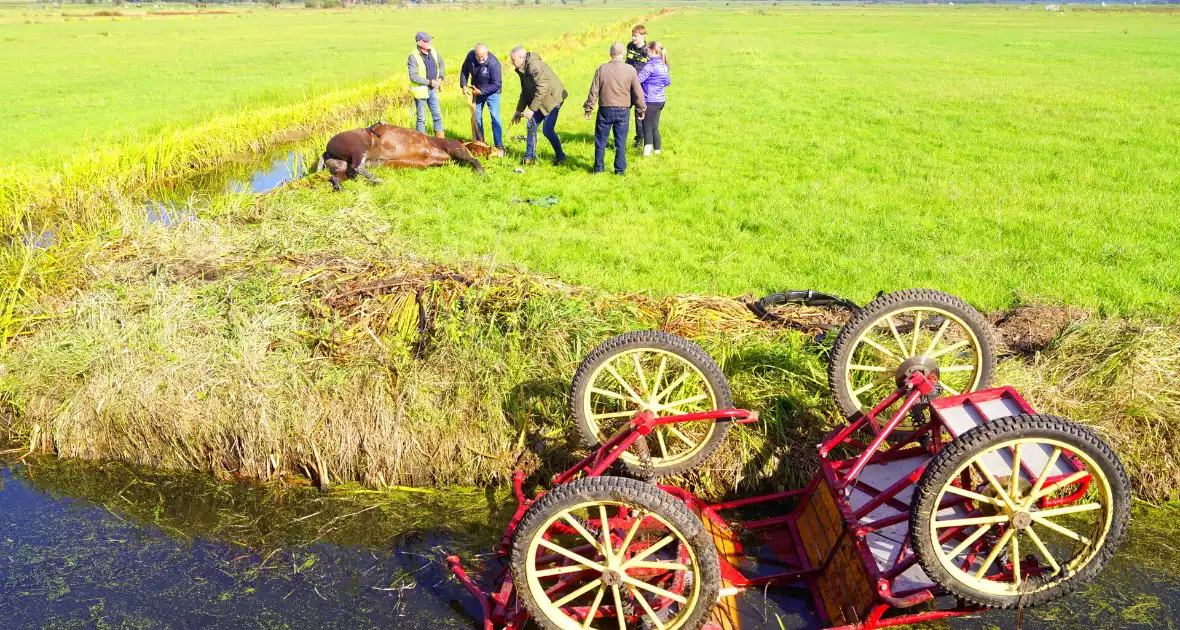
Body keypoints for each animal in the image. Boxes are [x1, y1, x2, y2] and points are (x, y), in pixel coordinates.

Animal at [316, 122, 500, 189]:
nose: (496, 150)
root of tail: (327, 150)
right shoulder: (454, 148)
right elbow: (473, 160)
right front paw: (482, 172)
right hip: (358, 147)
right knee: (357, 166)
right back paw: (377, 179)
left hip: (342, 169)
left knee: (336, 177)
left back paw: (340, 186)